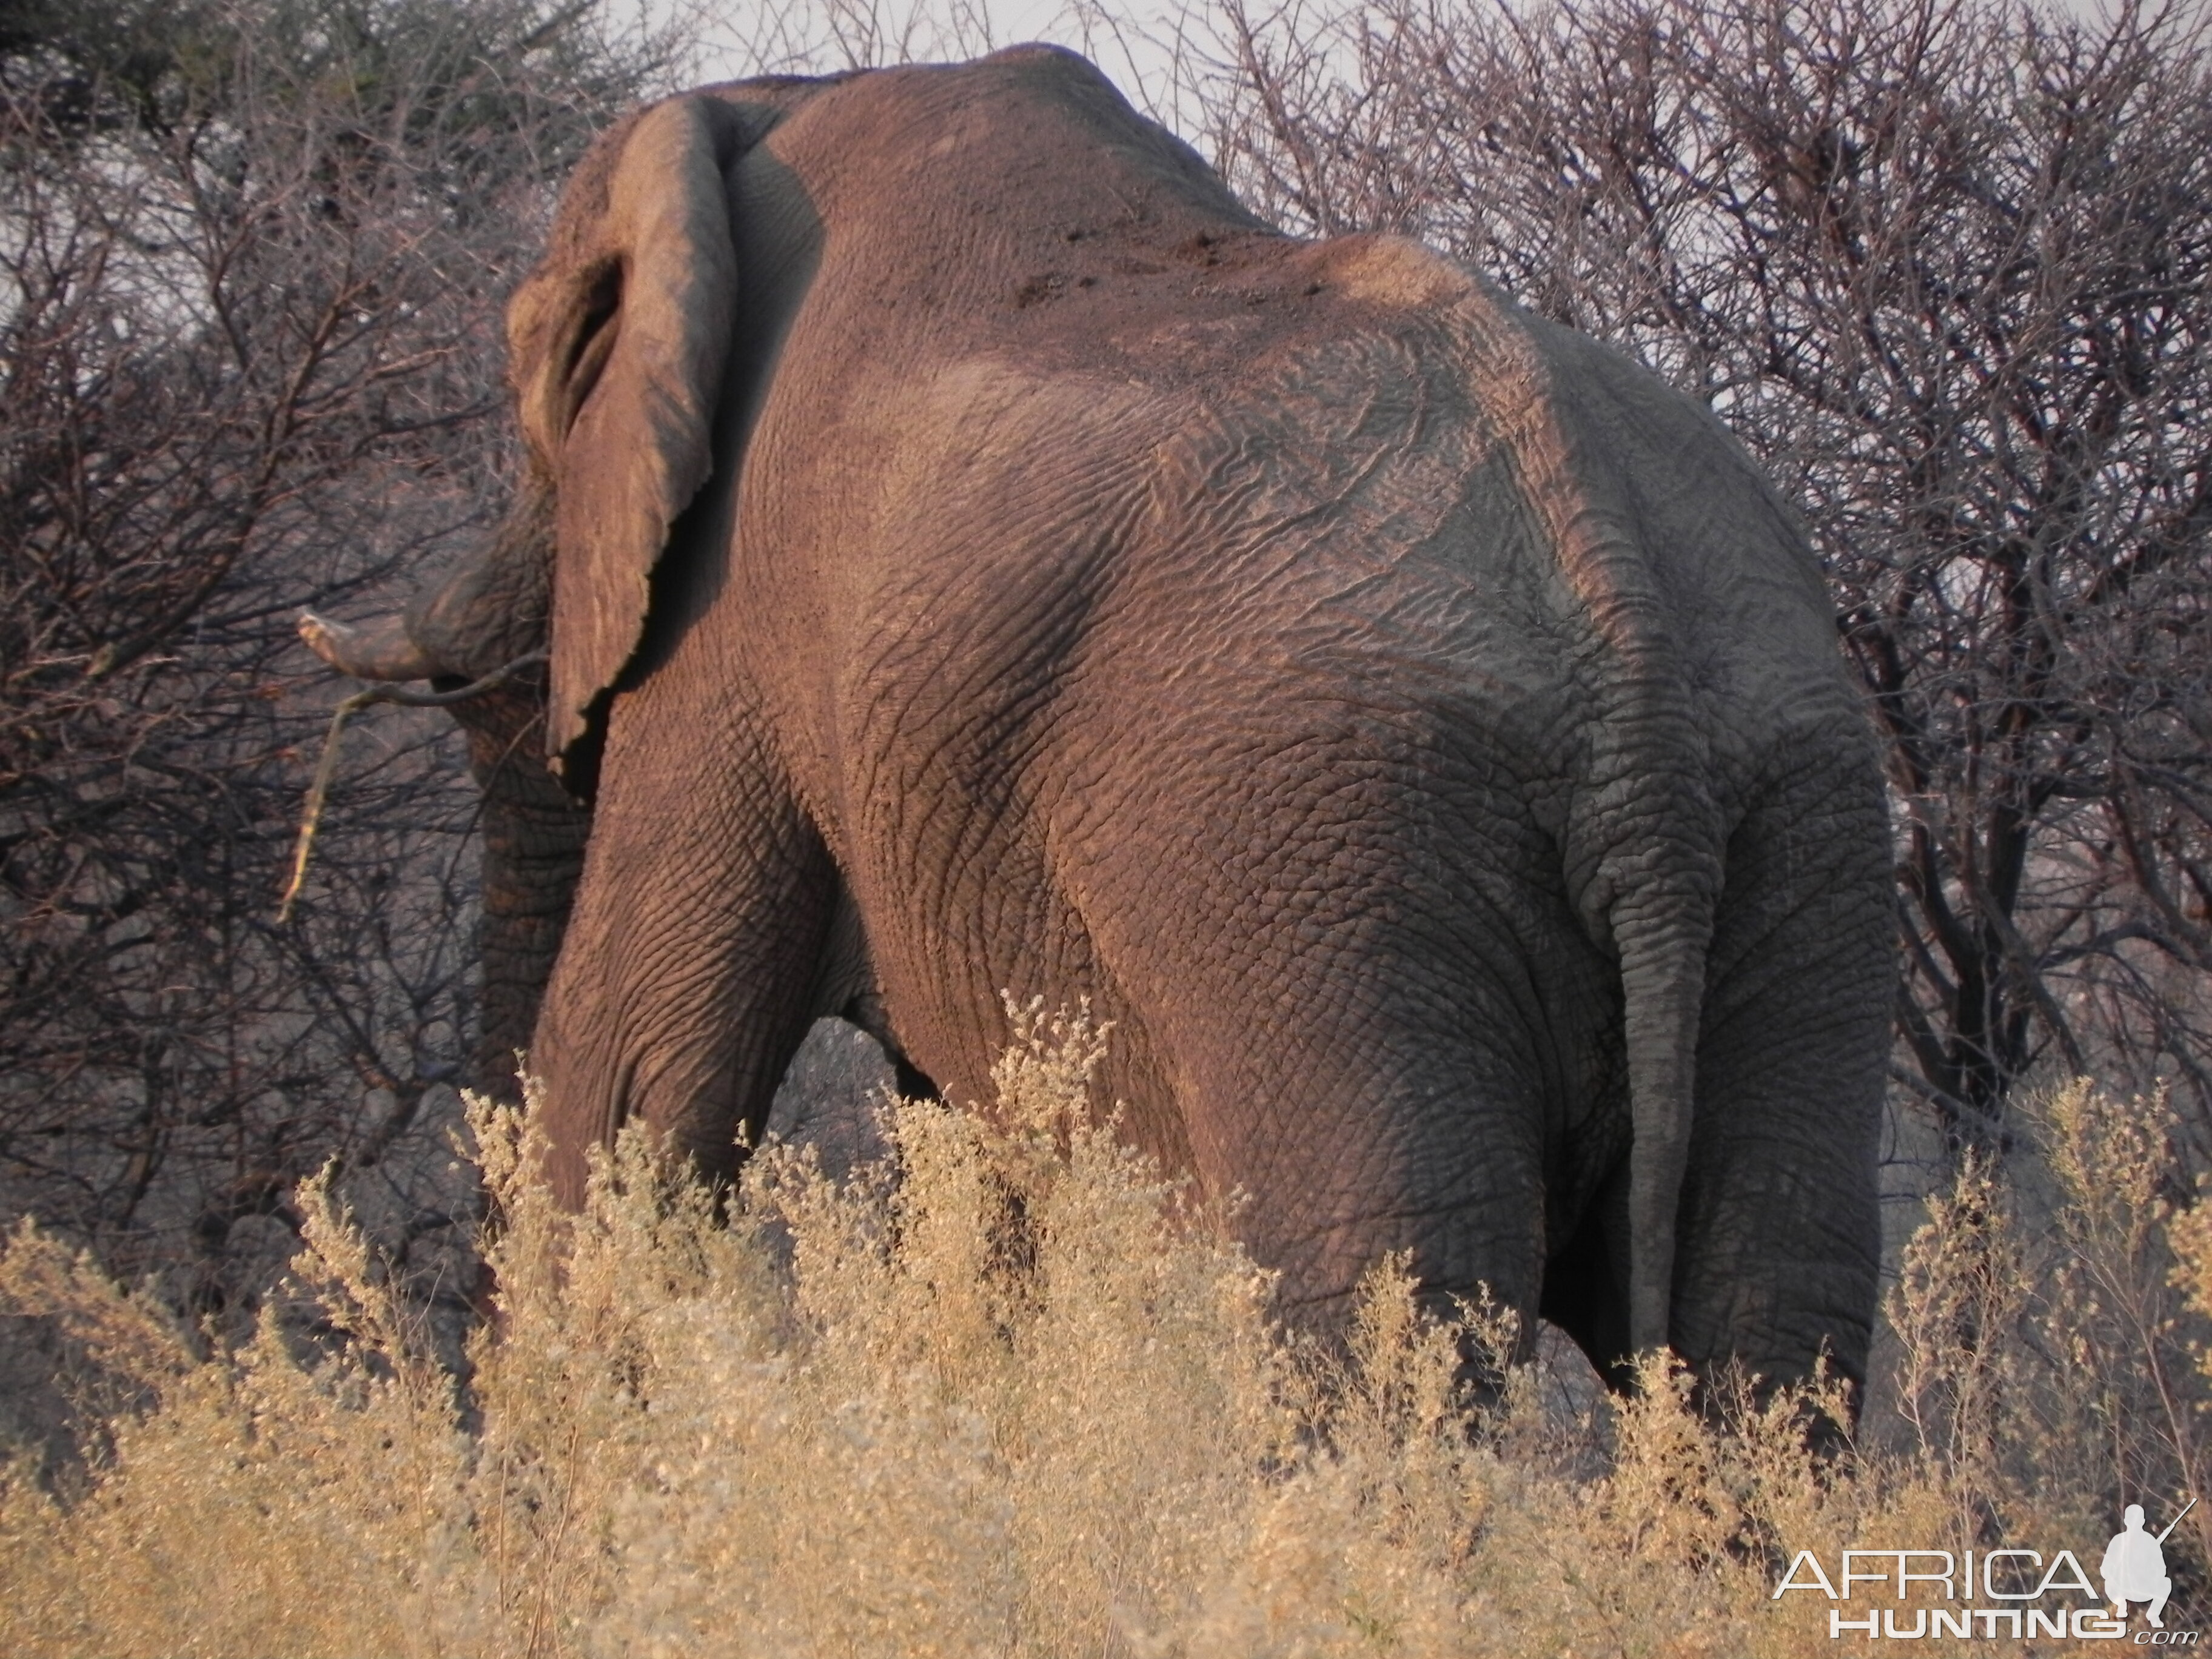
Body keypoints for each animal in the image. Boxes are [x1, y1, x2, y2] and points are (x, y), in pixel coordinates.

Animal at [298, 45, 1902, 1398]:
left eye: (535, 364)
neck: (774, 99)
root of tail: (1628, 636)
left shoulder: (733, 628)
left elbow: (630, 1082)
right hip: (1801, 820)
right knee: (1769, 1324)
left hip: (1319, 835)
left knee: (1378, 1307)